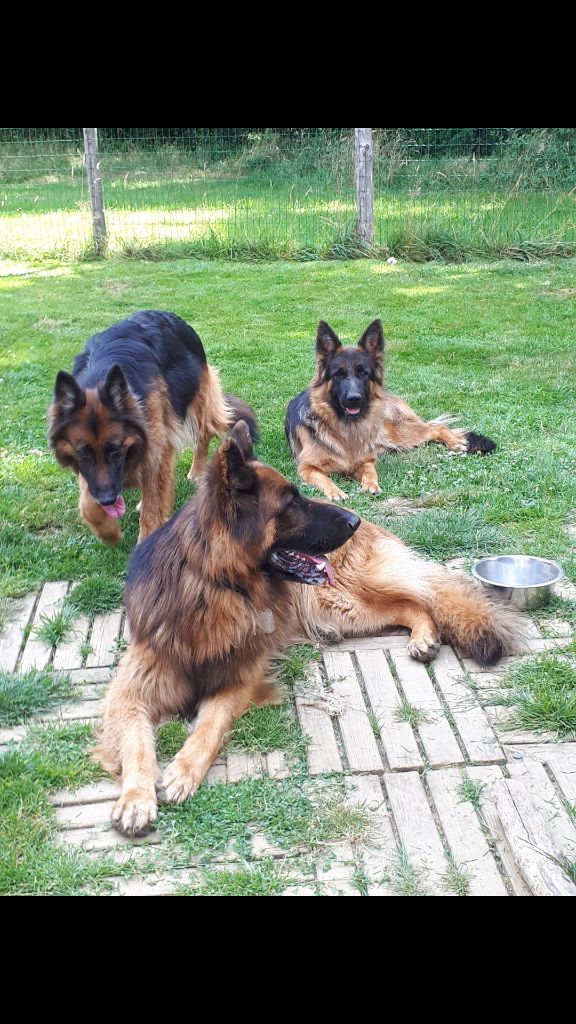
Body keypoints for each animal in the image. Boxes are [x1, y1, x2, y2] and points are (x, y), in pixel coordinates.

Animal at [49, 309, 255, 544]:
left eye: (115, 449)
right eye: (84, 453)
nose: (108, 500)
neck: (100, 376)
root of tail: (171, 315)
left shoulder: (156, 450)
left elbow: (152, 506)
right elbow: (87, 502)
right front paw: (107, 530)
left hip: (196, 402)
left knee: (203, 435)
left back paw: (197, 471)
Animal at [96, 419, 518, 835]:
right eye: (291, 503)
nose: (353, 519)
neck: (217, 586)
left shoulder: (239, 680)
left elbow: (209, 726)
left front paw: (182, 771)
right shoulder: (132, 687)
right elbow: (136, 740)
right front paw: (136, 798)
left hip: (341, 599)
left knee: (420, 598)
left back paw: (425, 637)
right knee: (409, 602)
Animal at [284, 315, 496, 499]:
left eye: (363, 373)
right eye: (338, 374)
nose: (354, 399)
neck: (348, 430)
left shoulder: (365, 461)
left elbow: (371, 470)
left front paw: (371, 484)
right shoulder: (307, 467)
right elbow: (324, 478)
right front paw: (335, 491)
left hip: (394, 433)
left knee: (437, 427)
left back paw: (455, 443)